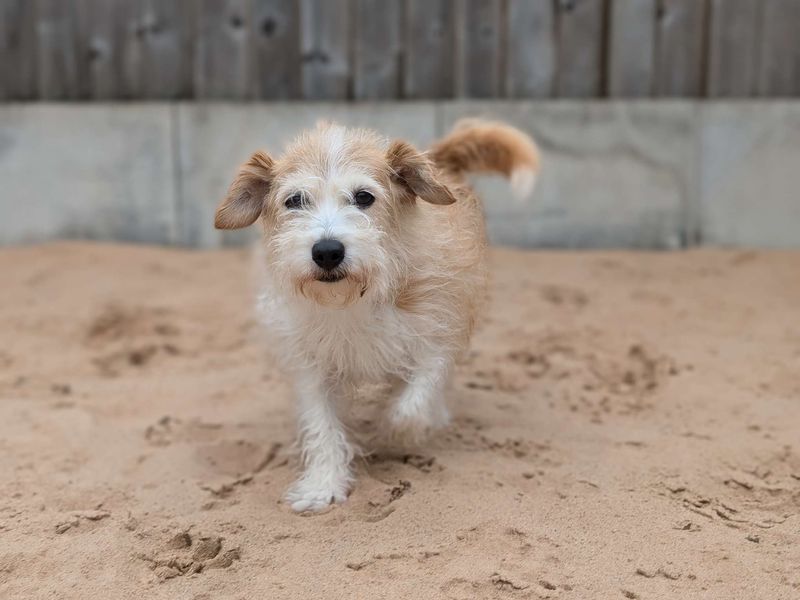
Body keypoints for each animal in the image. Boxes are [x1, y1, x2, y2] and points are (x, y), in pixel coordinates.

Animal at [214, 118, 536, 510]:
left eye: (364, 197)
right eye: (295, 200)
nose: (327, 251)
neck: (353, 297)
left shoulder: (436, 334)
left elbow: (411, 404)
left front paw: (393, 435)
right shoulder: (310, 363)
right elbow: (321, 424)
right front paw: (324, 483)